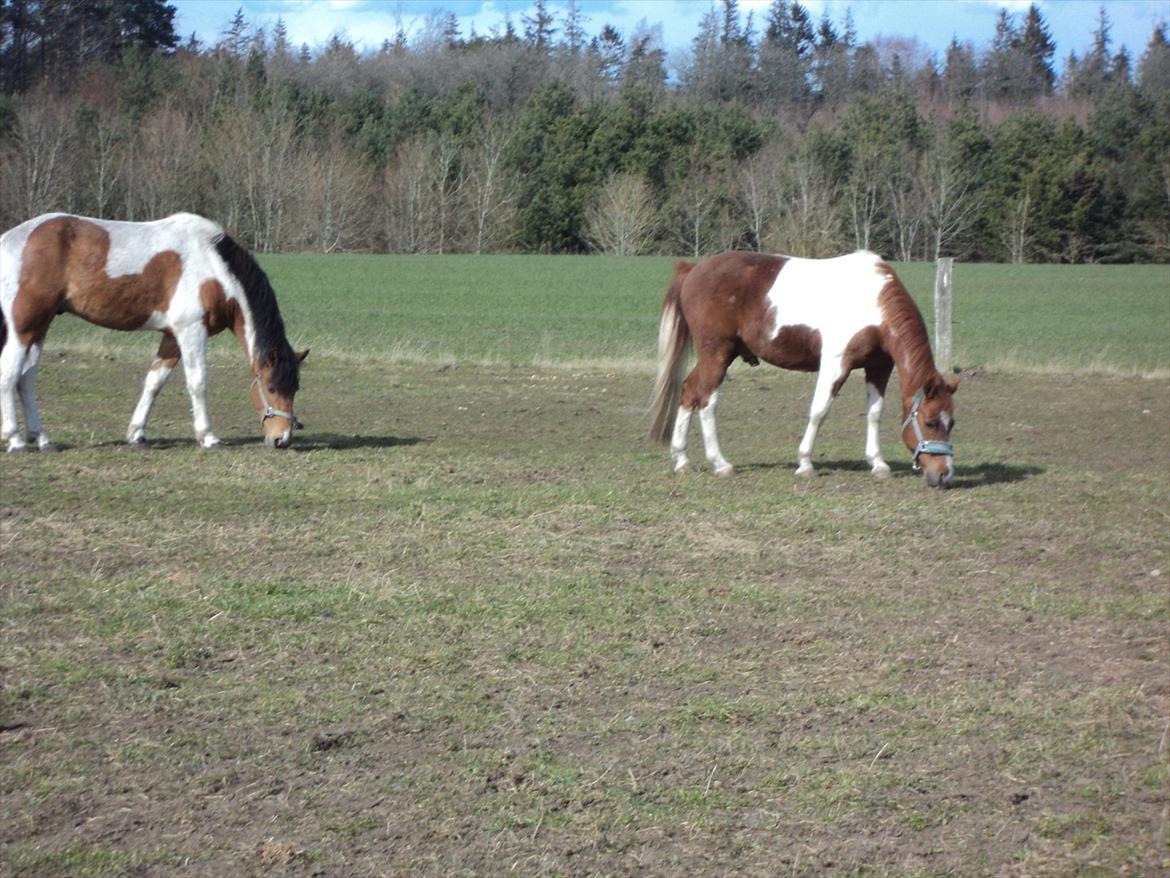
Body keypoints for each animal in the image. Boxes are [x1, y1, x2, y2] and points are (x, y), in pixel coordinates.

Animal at [0, 215, 308, 454]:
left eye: (294, 388)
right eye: (271, 387)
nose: (282, 439)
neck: (212, 266)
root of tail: (8, 239)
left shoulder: (172, 337)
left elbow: (154, 383)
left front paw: (137, 435)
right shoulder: (191, 331)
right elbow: (197, 383)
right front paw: (208, 437)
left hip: (40, 327)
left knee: (26, 379)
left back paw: (42, 440)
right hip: (24, 328)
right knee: (9, 374)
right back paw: (16, 441)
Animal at [650, 250, 959, 491]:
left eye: (952, 423)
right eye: (930, 422)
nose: (944, 474)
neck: (873, 302)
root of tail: (693, 269)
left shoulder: (879, 367)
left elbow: (874, 414)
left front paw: (878, 463)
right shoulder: (836, 364)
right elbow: (819, 411)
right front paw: (805, 463)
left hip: (718, 355)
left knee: (689, 392)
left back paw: (682, 460)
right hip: (717, 353)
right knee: (706, 401)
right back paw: (720, 463)